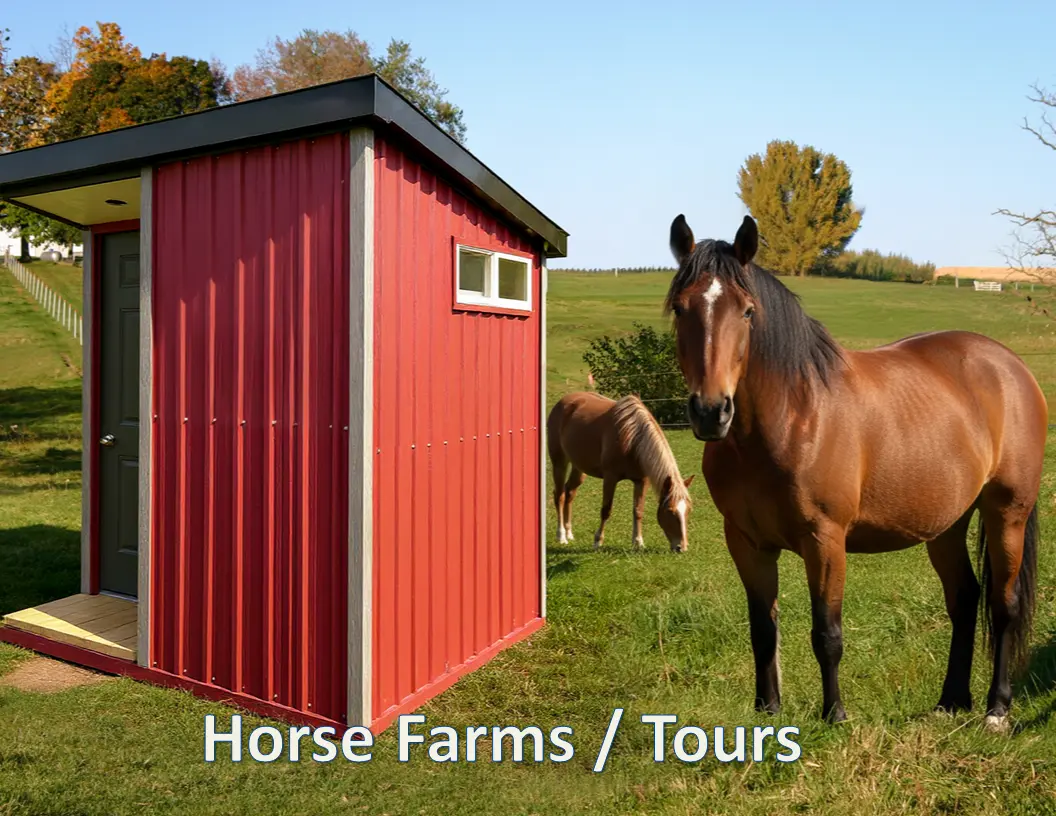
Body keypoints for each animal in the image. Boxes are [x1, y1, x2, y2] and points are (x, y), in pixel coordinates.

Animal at [547, 392, 695, 552]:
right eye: (669, 510)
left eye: (688, 510)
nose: (682, 547)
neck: (632, 438)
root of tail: (564, 401)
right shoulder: (610, 478)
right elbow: (606, 510)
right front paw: (598, 541)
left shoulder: (642, 481)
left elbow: (638, 510)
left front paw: (638, 542)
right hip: (559, 463)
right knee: (560, 496)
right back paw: (561, 536)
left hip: (579, 467)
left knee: (569, 492)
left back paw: (569, 533)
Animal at [664, 213, 1047, 731]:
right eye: (681, 308)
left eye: (746, 311)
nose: (710, 412)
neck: (791, 417)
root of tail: (1008, 365)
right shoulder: (746, 542)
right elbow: (763, 629)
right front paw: (767, 711)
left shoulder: (825, 540)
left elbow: (827, 632)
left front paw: (835, 715)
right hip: (947, 523)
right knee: (964, 598)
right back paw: (950, 700)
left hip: (1007, 512)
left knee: (1004, 606)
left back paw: (996, 710)